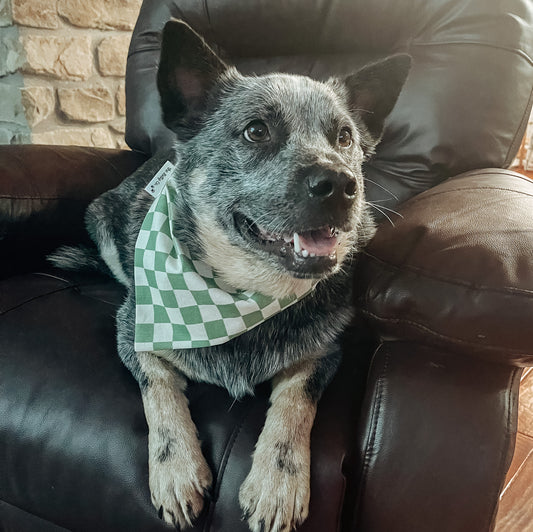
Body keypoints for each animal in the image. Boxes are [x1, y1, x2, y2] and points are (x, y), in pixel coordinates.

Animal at [48, 18, 408, 532]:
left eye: (344, 137)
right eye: (256, 131)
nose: (343, 184)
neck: (241, 294)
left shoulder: (323, 353)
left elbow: (295, 405)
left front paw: (278, 481)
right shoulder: (133, 331)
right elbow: (159, 393)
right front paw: (176, 469)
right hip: (99, 218)